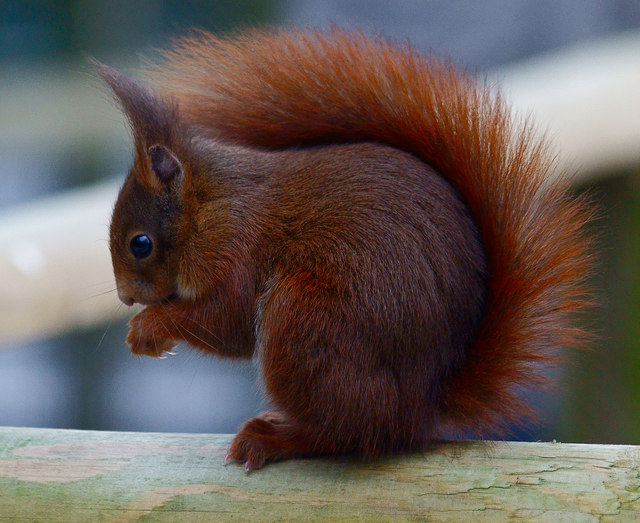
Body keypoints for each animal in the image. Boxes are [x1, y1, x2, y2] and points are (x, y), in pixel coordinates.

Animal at [96, 27, 596, 470]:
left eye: (140, 243)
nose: (125, 296)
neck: (209, 204)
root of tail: (421, 406)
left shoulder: (236, 244)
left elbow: (228, 320)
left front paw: (149, 328)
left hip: (308, 321)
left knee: (349, 435)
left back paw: (278, 438)